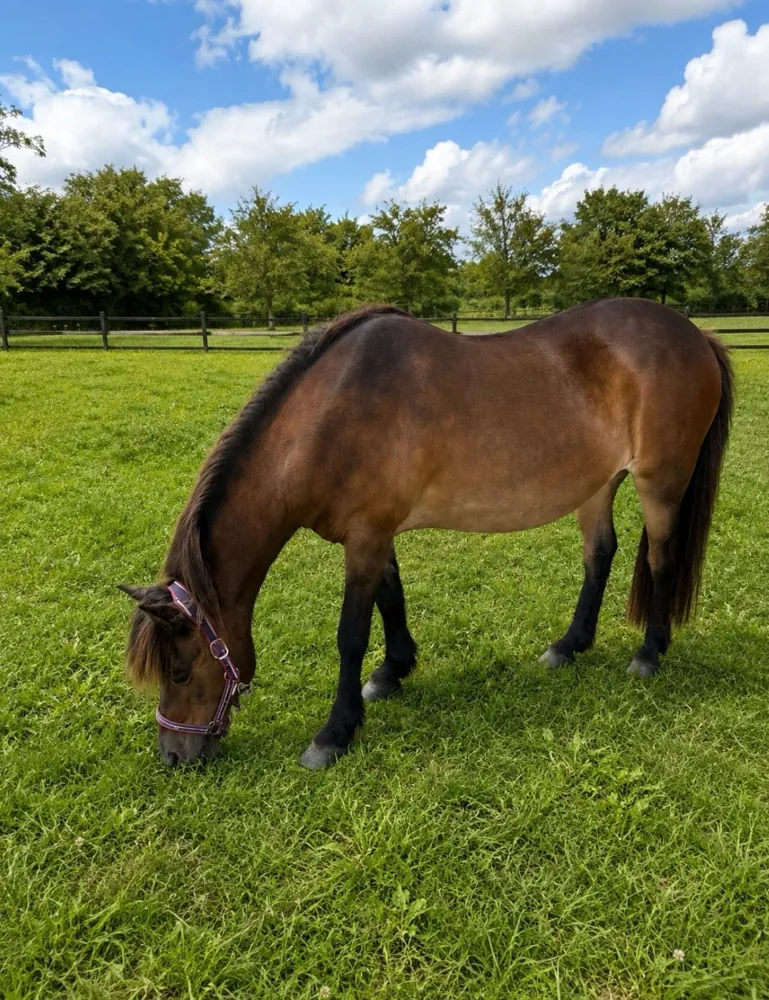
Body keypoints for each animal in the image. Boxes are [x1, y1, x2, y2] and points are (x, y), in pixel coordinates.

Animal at [120, 298, 733, 770]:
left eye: (180, 669)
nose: (173, 756)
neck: (331, 415)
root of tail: (696, 334)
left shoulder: (366, 535)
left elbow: (351, 634)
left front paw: (334, 733)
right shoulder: (374, 533)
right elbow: (391, 600)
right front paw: (393, 672)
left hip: (660, 482)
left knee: (660, 560)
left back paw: (649, 654)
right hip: (598, 484)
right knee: (599, 556)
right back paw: (569, 645)